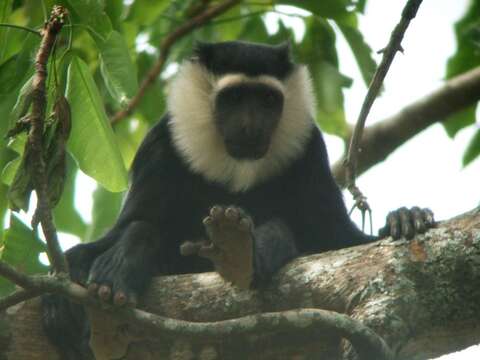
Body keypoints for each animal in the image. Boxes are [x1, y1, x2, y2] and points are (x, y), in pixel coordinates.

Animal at [43, 40, 436, 358]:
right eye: (233, 98)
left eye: (267, 100)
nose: (250, 127)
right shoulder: (160, 146)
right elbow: (133, 226)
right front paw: (98, 273)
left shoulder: (310, 152)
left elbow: (340, 240)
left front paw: (406, 218)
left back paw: (248, 247)